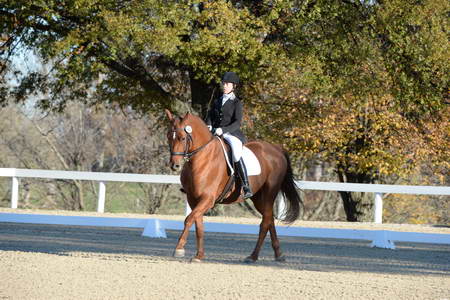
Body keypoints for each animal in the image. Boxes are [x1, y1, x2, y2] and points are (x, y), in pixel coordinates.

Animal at [165, 109, 302, 262]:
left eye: (182, 138)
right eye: (169, 136)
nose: (175, 165)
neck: (201, 159)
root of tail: (277, 149)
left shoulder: (208, 199)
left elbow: (188, 219)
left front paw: (179, 249)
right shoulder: (193, 199)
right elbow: (198, 225)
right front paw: (199, 255)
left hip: (269, 193)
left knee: (265, 222)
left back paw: (253, 256)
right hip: (258, 198)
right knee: (269, 219)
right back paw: (277, 254)